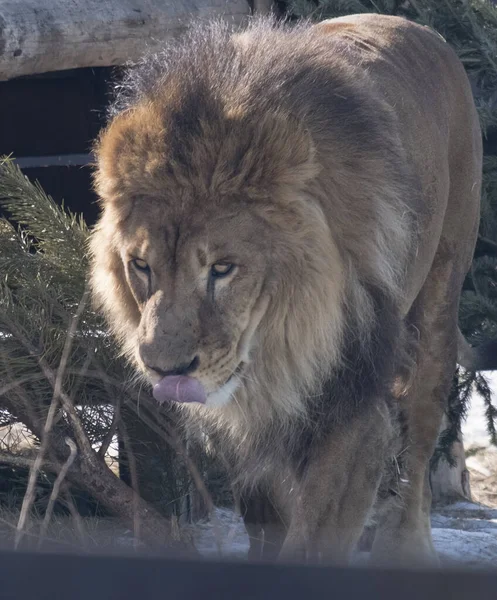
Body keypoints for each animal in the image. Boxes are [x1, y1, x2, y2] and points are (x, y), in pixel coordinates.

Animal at [88, 15, 492, 568]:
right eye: (141, 266)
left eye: (222, 268)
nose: (166, 370)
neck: (278, 348)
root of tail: (422, 30)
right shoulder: (244, 427)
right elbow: (267, 522)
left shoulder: (353, 410)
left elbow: (314, 542)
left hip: (439, 300)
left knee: (422, 435)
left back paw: (403, 548)